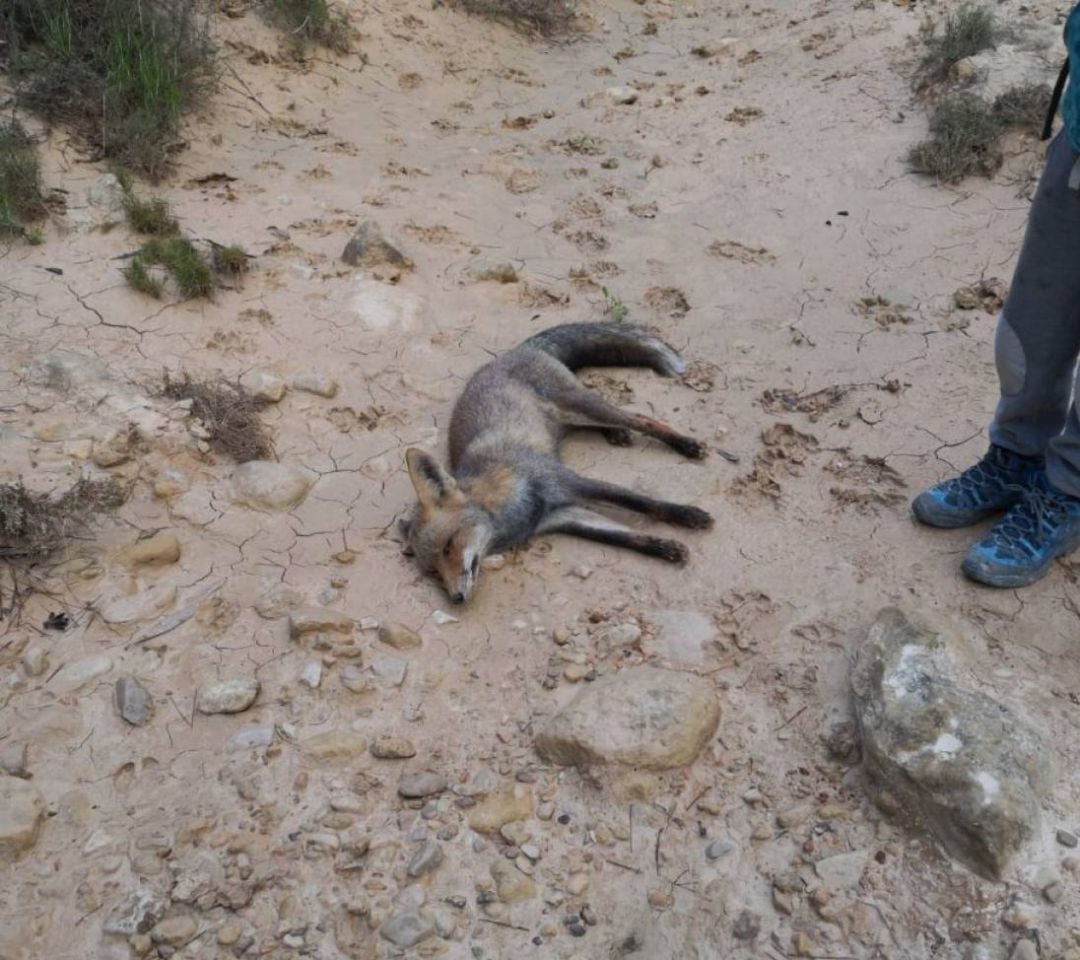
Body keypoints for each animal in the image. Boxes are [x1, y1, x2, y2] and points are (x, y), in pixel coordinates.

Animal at [401, 326, 712, 604]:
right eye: (434, 572)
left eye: (449, 547)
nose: (456, 598)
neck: (509, 514)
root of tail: (518, 349)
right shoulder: (562, 515)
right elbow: (623, 536)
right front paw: (665, 547)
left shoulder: (566, 481)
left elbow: (642, 502)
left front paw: (688, 515)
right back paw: (616, 434)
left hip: (582, 406)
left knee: (643, 419)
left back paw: (685, 444)